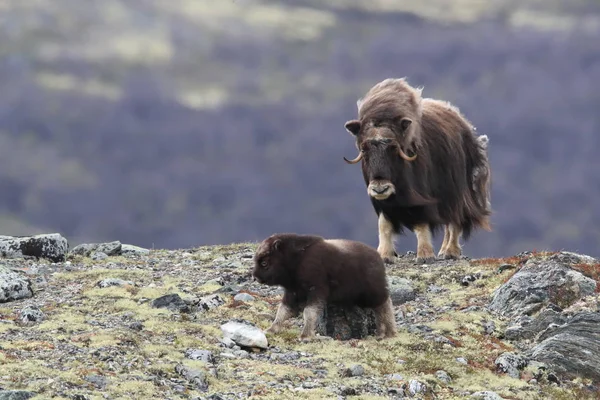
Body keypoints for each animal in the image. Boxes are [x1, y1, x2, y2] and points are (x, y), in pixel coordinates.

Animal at [251, 234, 396, 340]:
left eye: (264, 262)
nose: (255, 277)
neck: (296, 260)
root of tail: (378, 258)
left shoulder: (316, 290)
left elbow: (308, 311)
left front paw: (305, 336)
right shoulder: (292, 293)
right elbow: (283, 311)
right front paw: (271, 330)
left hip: (373, 292)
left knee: (385, 305)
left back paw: (389, 333)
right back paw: (381, 333)